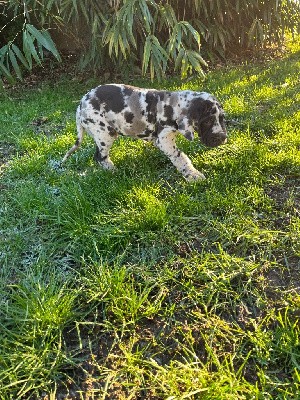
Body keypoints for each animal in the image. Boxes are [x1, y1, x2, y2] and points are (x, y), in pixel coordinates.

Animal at [63, 84, 227, 181]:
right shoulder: (164, 139)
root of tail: (80, 105)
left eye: (222, 118)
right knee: (99, 157)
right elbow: (180, 157)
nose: (222, 138)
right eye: (207, 121)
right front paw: (193, 175)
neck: (173, 106)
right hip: (104, 133)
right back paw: (114, 171)